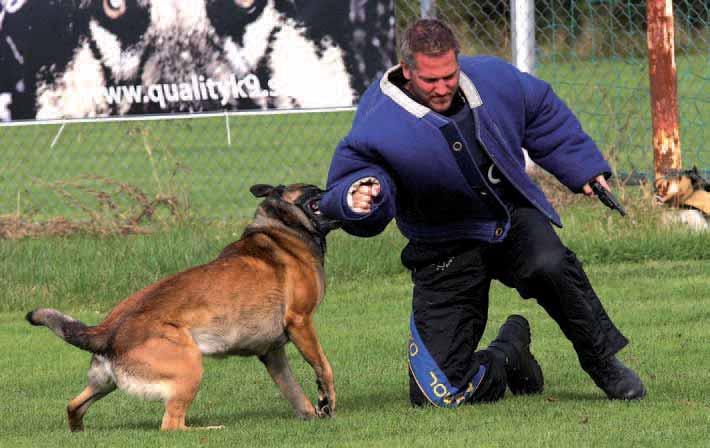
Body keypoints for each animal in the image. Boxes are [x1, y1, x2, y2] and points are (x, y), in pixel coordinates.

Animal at [29, 183, 346, 430]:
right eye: (315, 190)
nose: (338, 191)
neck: (282, 230)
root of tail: (107, 331)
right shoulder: (300, 322)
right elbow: (323, 367)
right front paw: (327, 404)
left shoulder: (272, 352)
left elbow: (292, 389)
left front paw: (311, 414)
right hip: (190, 366)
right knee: (171, 425)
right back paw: (211, 428)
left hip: (103, 383)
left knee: (73, 406)